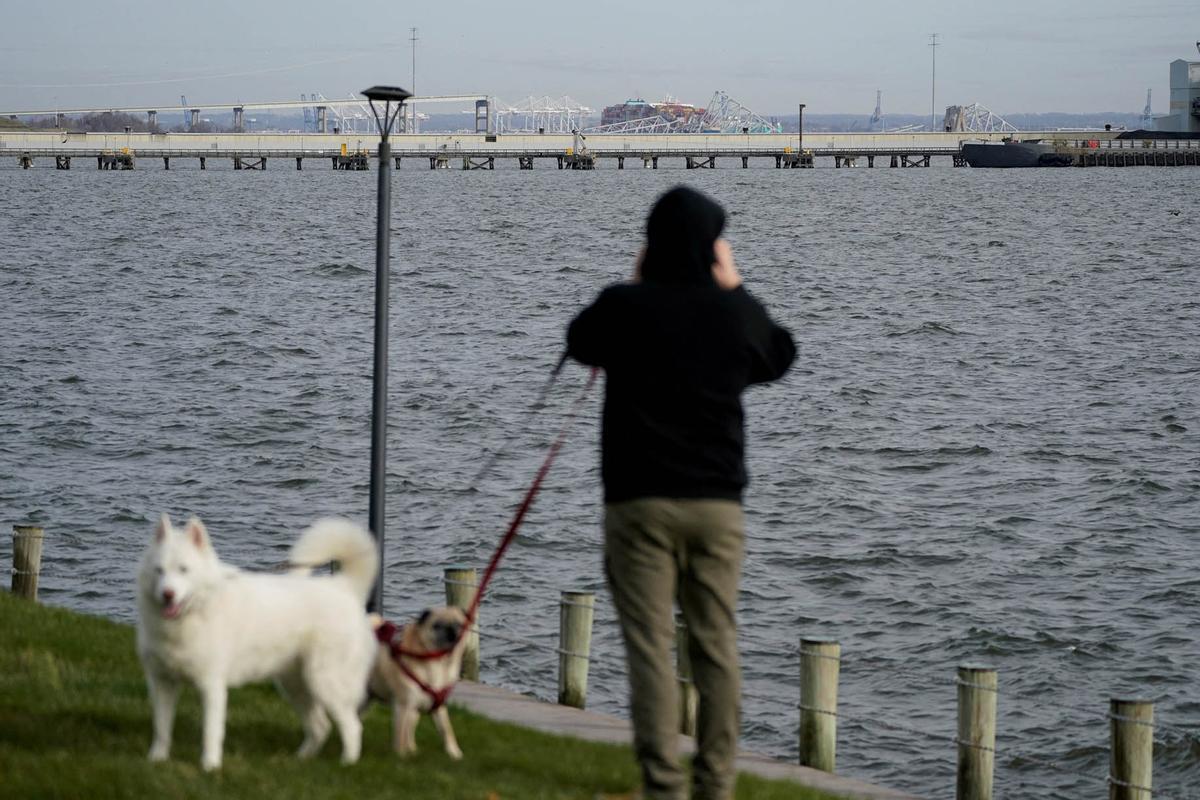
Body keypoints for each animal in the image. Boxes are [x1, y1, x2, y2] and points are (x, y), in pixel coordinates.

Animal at [136, 515, 379, 772]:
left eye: (184, 569)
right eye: (159, 570)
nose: (167, 594)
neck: (190, 617)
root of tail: (343, 587)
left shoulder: (211, 686)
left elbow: (211, 732)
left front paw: (210, 767)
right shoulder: (161, 683)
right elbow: (161, 728)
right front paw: (156, 759)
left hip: (324, 682)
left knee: (352, 726)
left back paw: (347, 763)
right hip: (295, 686)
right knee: (320, 726)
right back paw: (298, 760)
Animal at [367, 609, 465, 762]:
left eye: (458, 625)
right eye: (437, 626)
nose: (452, 633)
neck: (438, 661)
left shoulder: (438, 705)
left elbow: (446, 729)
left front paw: (454, 753)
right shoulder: (403, 705)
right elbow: (401, 735)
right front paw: (400, 758)